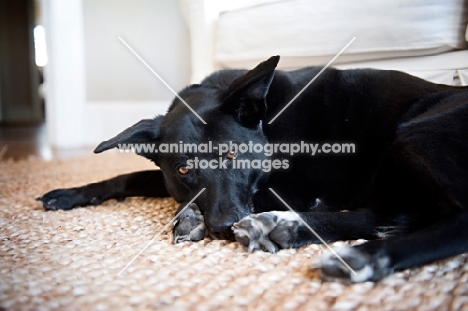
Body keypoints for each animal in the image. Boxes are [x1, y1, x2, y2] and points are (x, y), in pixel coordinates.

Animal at [37, 56, 468, 282]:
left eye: (232, 155)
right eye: (183, 170)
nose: (224, 227)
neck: (269, 123)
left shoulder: (297, 192)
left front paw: (189, 217)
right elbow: (133, 176)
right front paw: (70, 193)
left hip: (413, 135)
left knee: (448, 220)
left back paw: (359, 257)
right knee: (390, 215)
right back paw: (284, 229)